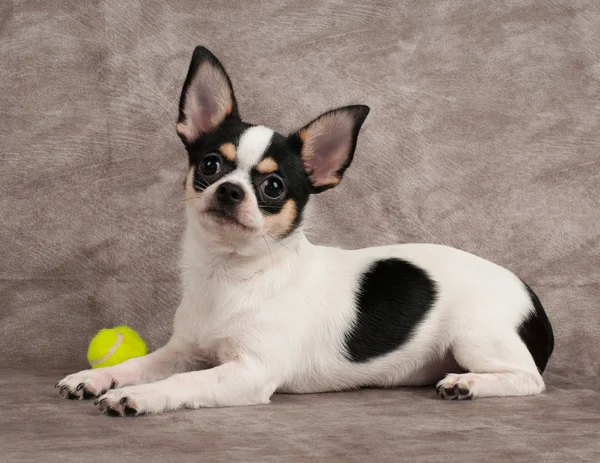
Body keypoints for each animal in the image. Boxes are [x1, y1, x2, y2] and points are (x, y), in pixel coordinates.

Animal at [56, 46, 552, 416]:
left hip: (475, 335)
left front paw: (137, 395)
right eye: (210, 165)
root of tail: (528, 292)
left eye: (273, 186)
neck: (231, 274)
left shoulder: (248, 373)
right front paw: (94, 377)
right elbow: (140, 363)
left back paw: (468, 384)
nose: (230, 190)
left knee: (529, 379)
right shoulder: (182, 350)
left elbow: (183, 382)